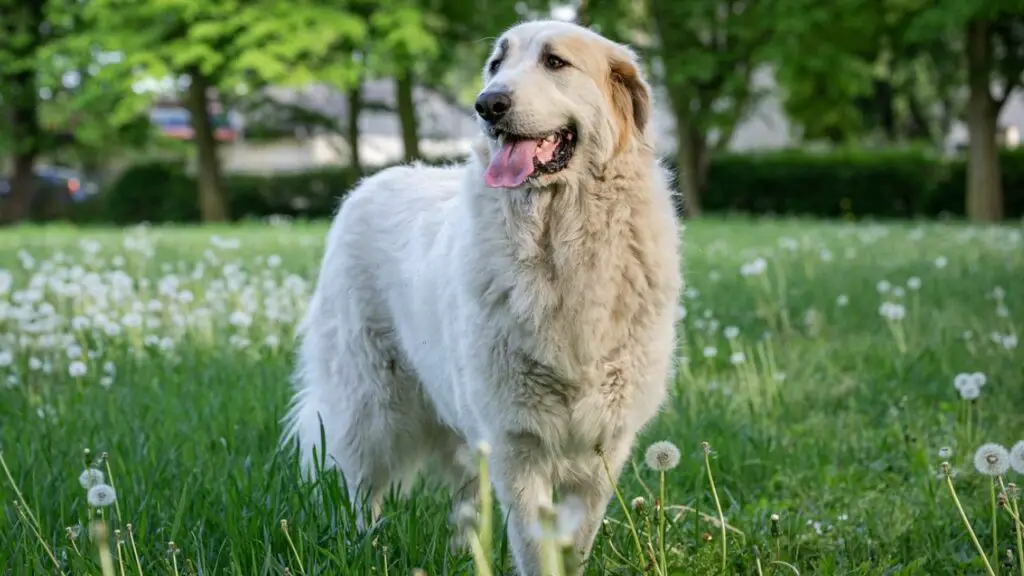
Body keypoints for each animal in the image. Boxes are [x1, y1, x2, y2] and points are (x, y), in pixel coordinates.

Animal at [282, 19, 679, 573]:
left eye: (555, 62)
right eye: (496, 64)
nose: (488, 104)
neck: (559, 239)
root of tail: (371, 182)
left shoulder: (604, 445)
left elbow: (575, 542)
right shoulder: (517, 441)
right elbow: (536, 546)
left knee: (462, 493)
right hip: (371, 403)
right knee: (361, 486)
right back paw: (368, 547)